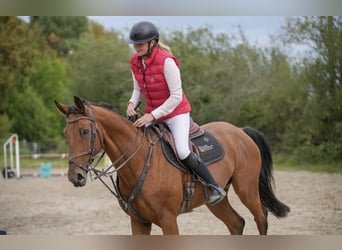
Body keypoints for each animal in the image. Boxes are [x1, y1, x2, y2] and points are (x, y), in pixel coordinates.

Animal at [54, 95, 290, 234]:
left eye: (85, 131)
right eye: (65, 133)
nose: (75, 176)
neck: (139, 163)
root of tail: (240, 131)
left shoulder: (168, 220)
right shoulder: (138, 222)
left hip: (247, 189)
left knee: (261, 218)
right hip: (217, 199)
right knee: (236, 223)